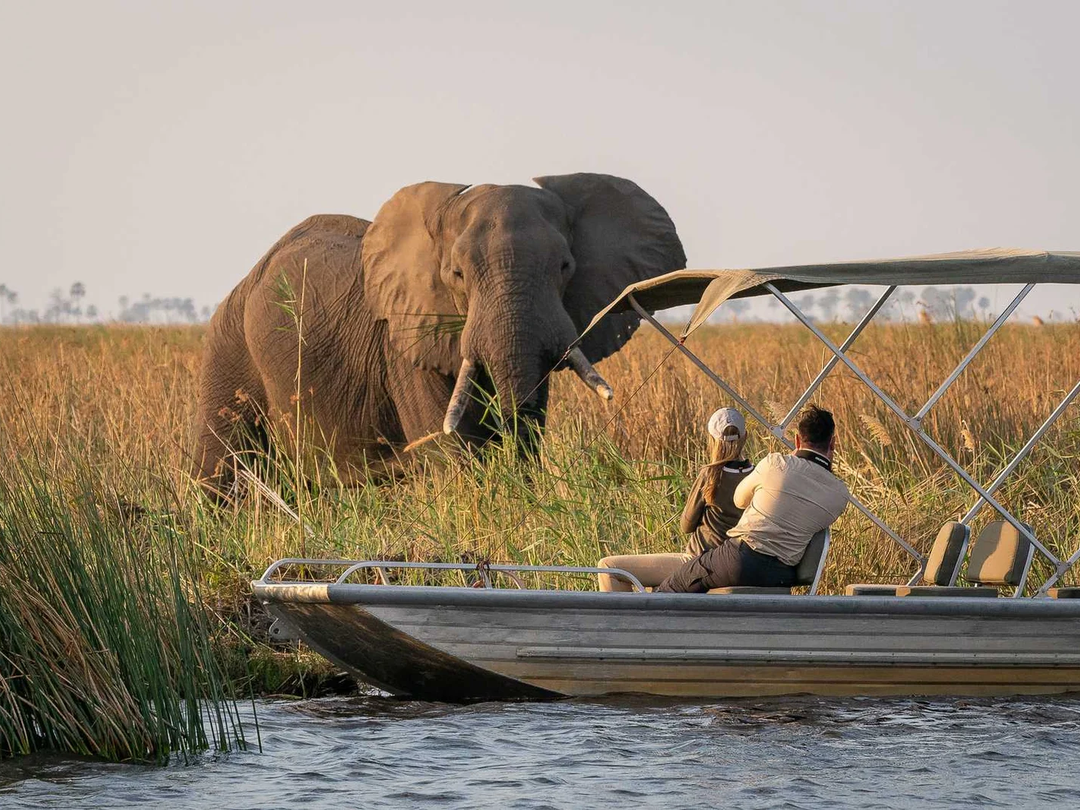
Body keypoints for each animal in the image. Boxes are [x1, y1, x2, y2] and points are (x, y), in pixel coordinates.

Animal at [192, 173, 685, 496]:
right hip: (229, 343)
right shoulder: (403, 344)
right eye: (457, 274)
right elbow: (450, 449)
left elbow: (528, 428)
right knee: (224, 473)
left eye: (565, 267)